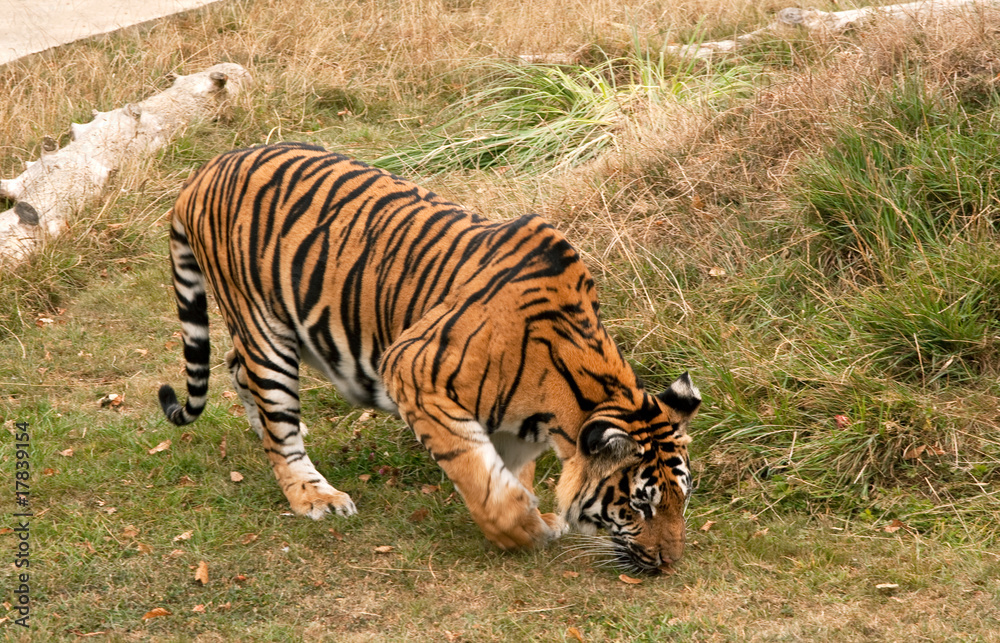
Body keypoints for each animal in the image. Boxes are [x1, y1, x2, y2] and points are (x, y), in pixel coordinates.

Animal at [158, 141, 701, 572]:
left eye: (684, 498)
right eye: (639, 506)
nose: (669, 563)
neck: (560, 402)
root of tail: (205, 170)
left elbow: (509, 474)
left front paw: (534, 510)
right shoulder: (412, 371)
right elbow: (485, 482)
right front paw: (524, 530)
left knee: (237, 368)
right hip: (264, 328)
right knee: (278, 426)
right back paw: (315, 495)